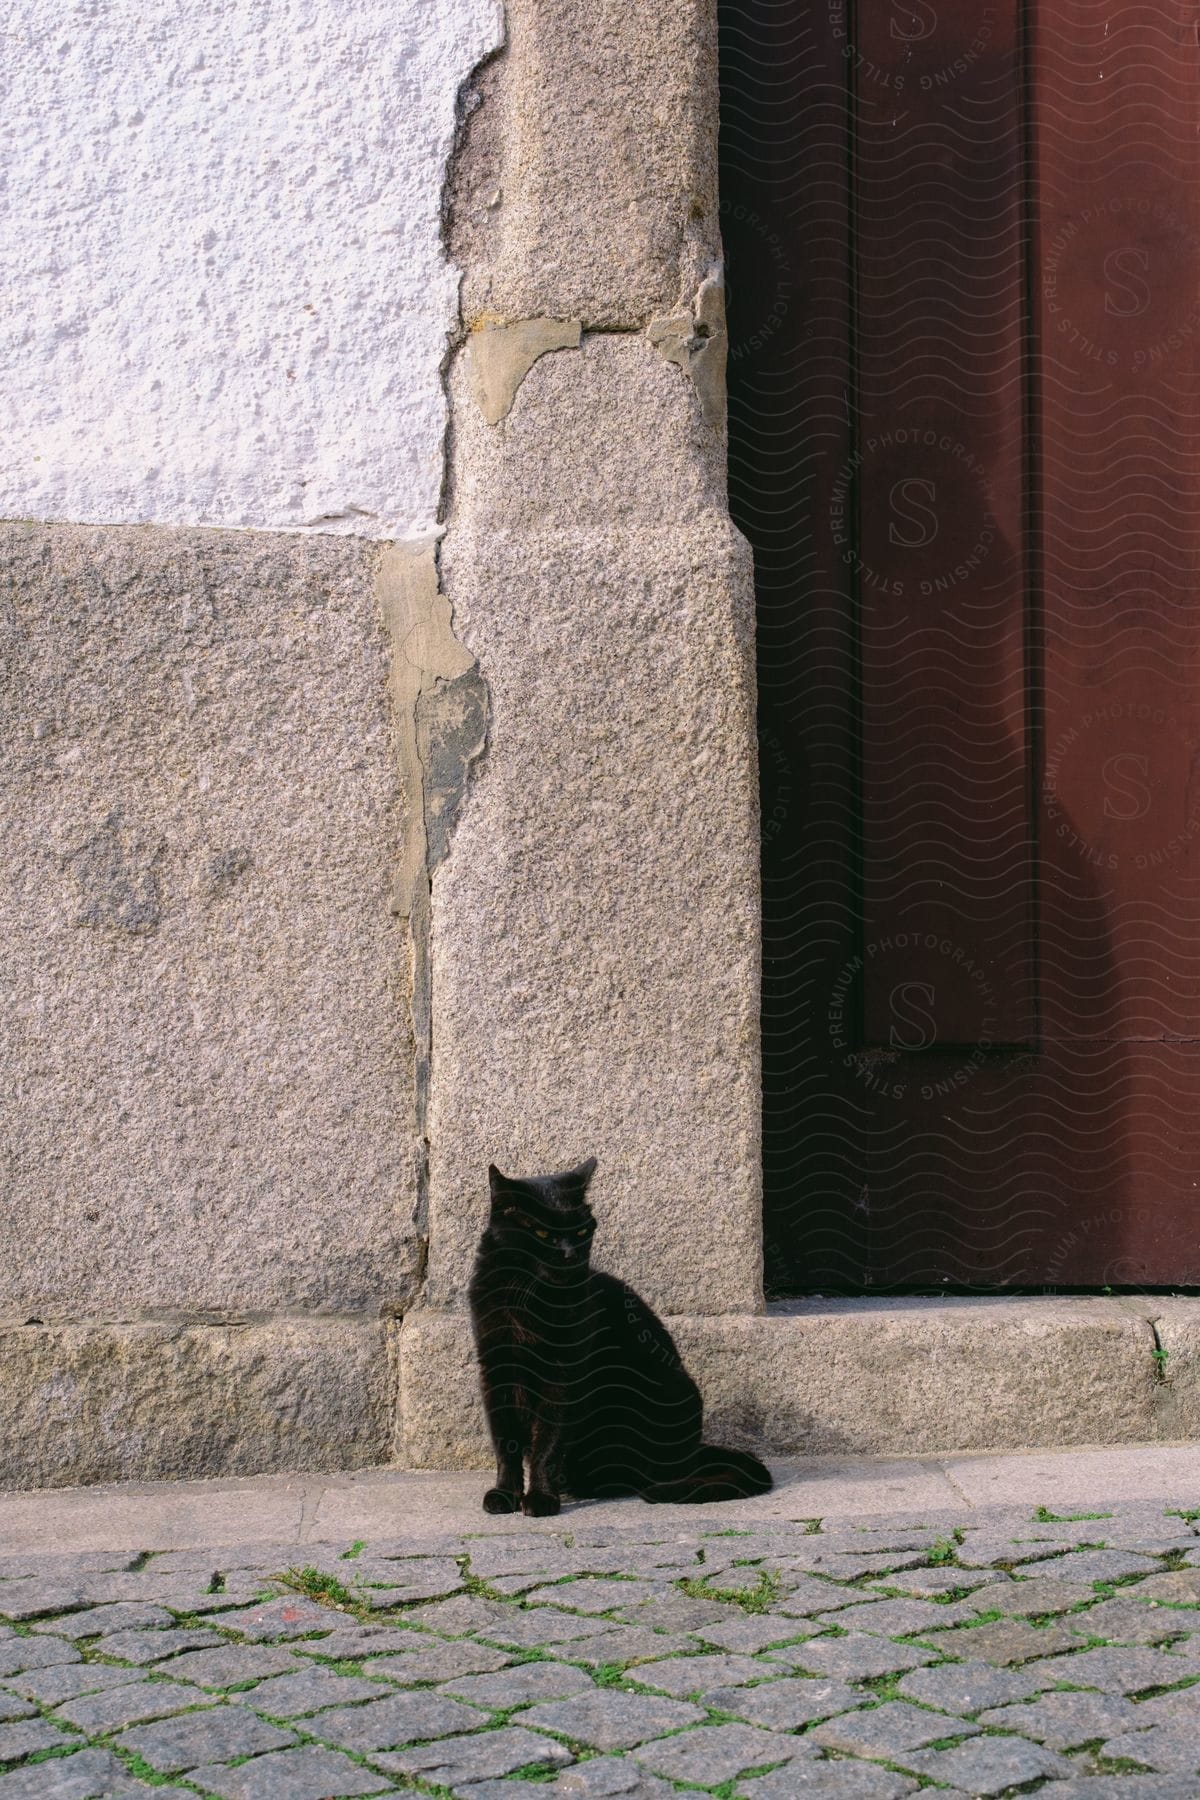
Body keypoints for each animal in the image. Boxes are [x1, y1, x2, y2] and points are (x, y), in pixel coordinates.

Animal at [464, 1159, 773, 1512]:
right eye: (542, 1233)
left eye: (582, 1231)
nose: (570, 1254)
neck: (529, 1298)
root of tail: (693, 1454)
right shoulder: (497, 1367)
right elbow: (506, 1441)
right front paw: (504, 1494)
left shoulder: (563, 1373)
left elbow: (548, 1441)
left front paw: (540, 1497)